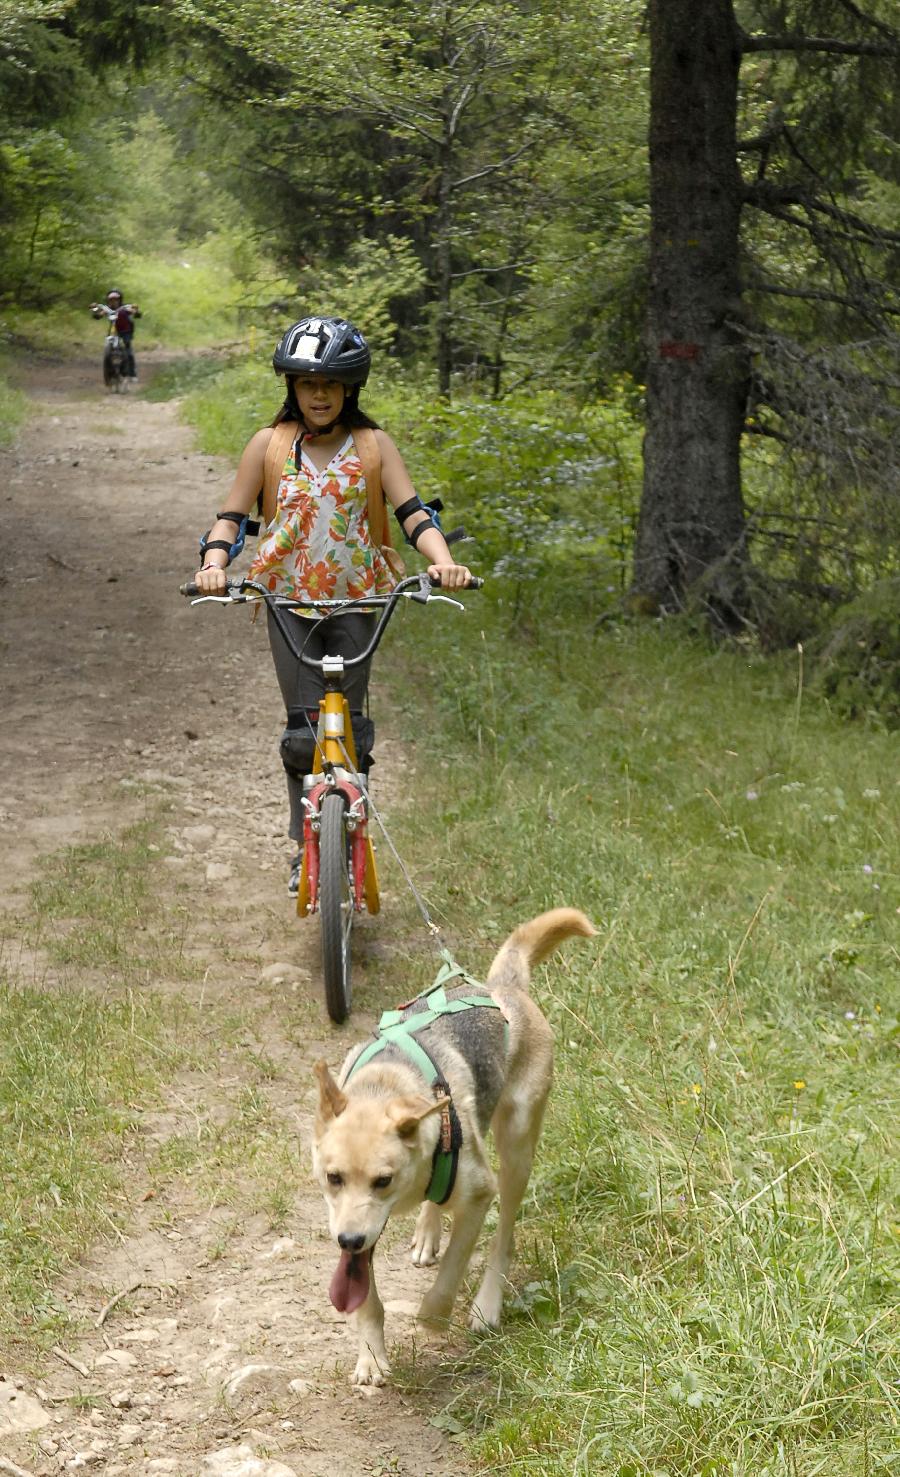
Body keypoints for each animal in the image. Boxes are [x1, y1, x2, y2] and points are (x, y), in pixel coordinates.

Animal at [311, 898, 594, 1382]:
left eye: (383, 1181)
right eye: (333, 1177)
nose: (346, 1240)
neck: (387, 1084)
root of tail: (502, 989)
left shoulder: (479, 1192)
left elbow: (451, 1272)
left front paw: (434, 1318)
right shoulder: (358, 1228)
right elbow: (367, 1298)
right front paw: (370, 1354)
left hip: (517, 1147)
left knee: (503, 1237)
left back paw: (486, 1304)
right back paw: (428, 1230)